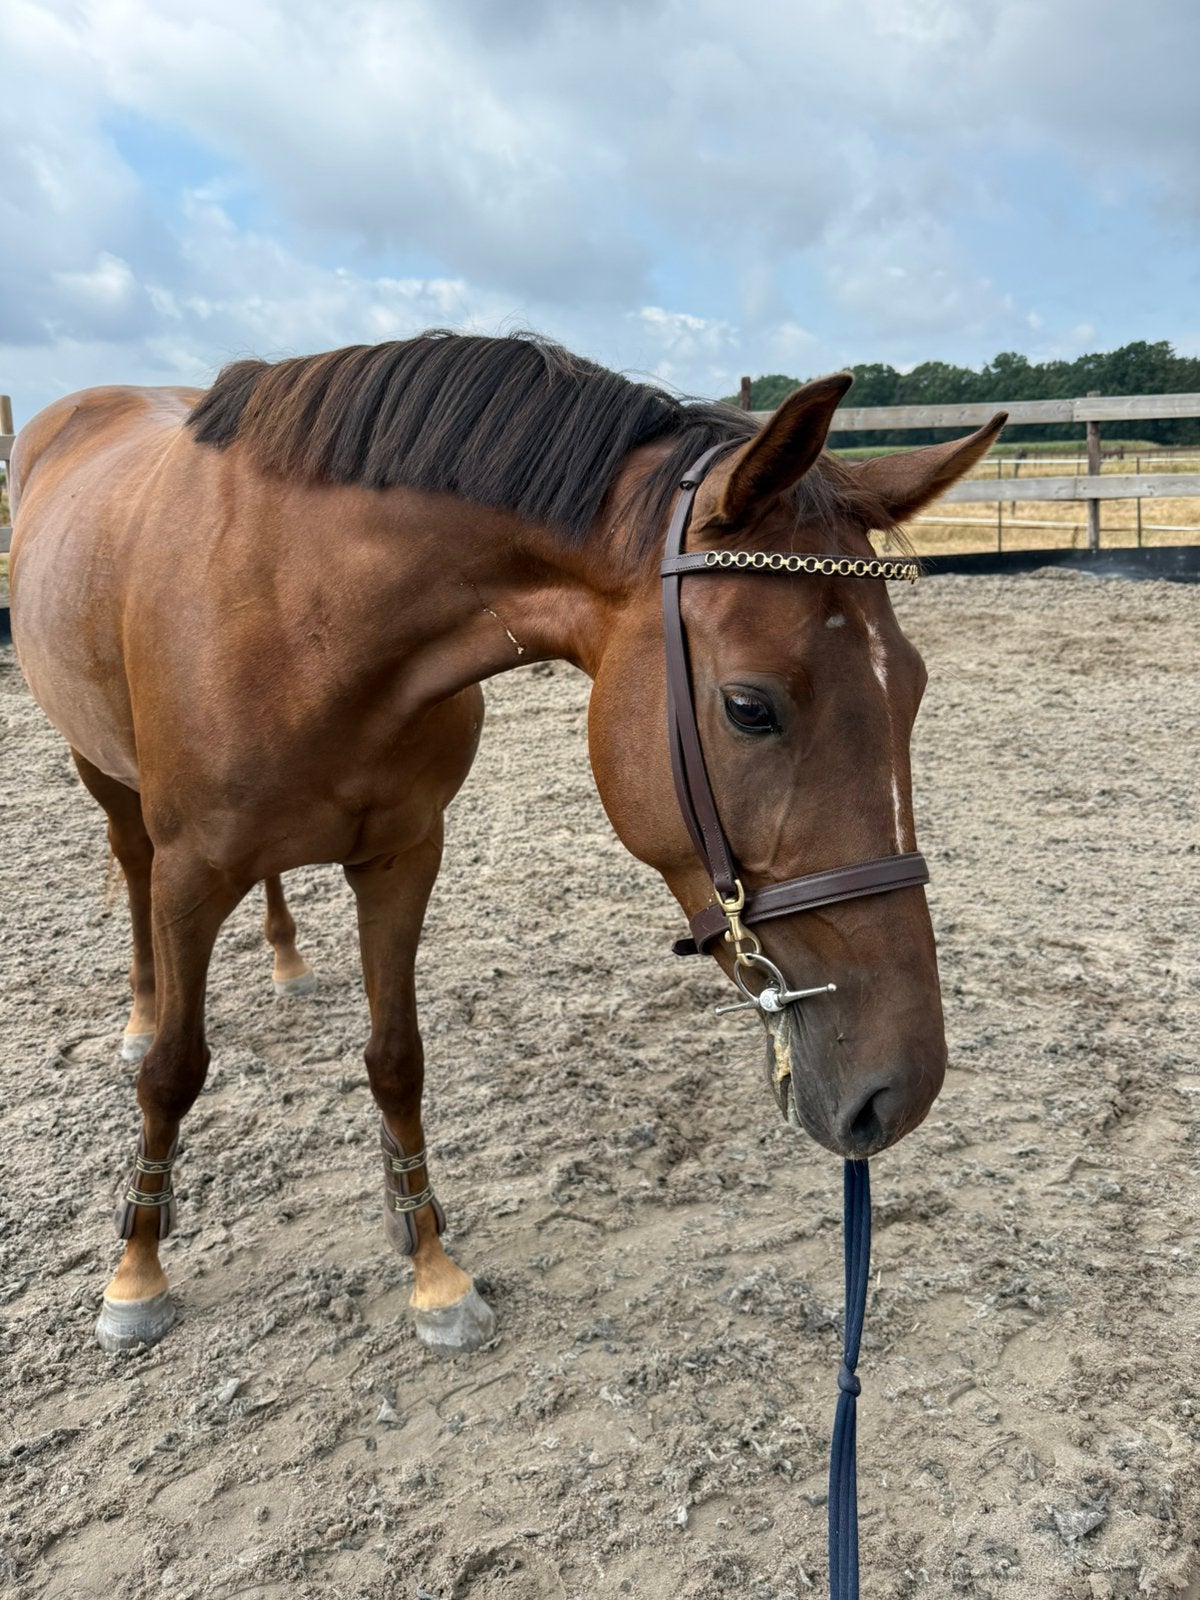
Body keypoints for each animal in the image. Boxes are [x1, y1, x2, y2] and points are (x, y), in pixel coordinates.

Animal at [9, 332, 1002, 1354]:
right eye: (749, 708)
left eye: (914, 689)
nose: (904, 1088)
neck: (300, 610)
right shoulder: (193, 875)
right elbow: (173, 1072)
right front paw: (136, 1270)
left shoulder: (403, 857)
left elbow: (396, 1058)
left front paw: (431, 1269)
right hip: (105, 778)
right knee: (131, 873)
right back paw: (140, 1011)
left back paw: (287, 961)